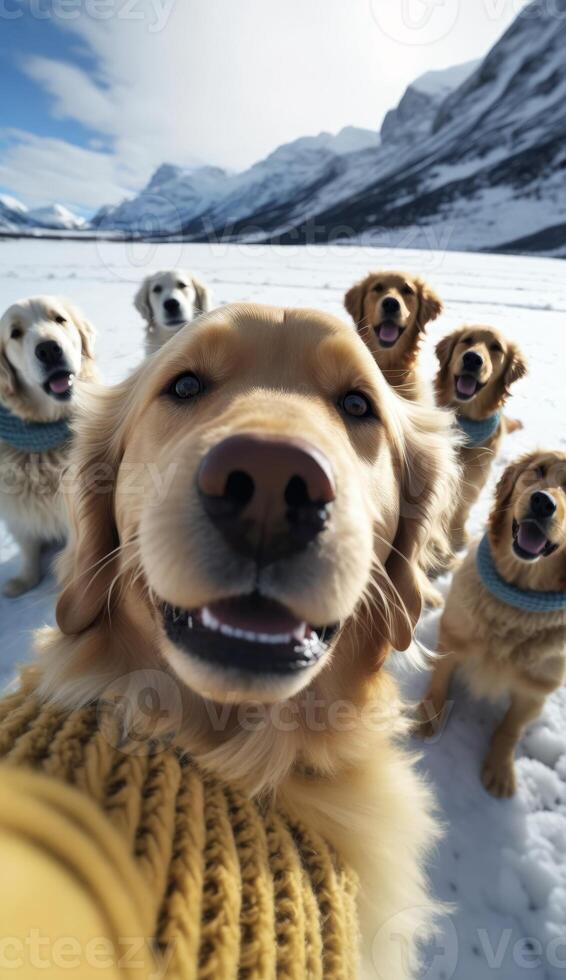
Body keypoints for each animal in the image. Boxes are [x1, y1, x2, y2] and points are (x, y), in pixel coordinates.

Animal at [0, 292, 98, 596]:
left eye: (59, 319)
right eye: (15, 333)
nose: (49, 350)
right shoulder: (18, 511)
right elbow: (28, 547)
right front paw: (25, 580)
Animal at [420, 456, 566, 800]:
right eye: (539, 470)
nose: (543, 502)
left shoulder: (536, 689)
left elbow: (511, 727)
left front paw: (500, 770)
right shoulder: (453, 637)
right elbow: (439, 681)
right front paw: (429, 716)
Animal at [434, 324, 528, 552]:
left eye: (496, 348)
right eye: (467, 340)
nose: (472, 359)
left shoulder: (475, 479)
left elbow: (461, 510)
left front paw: (456, 541)